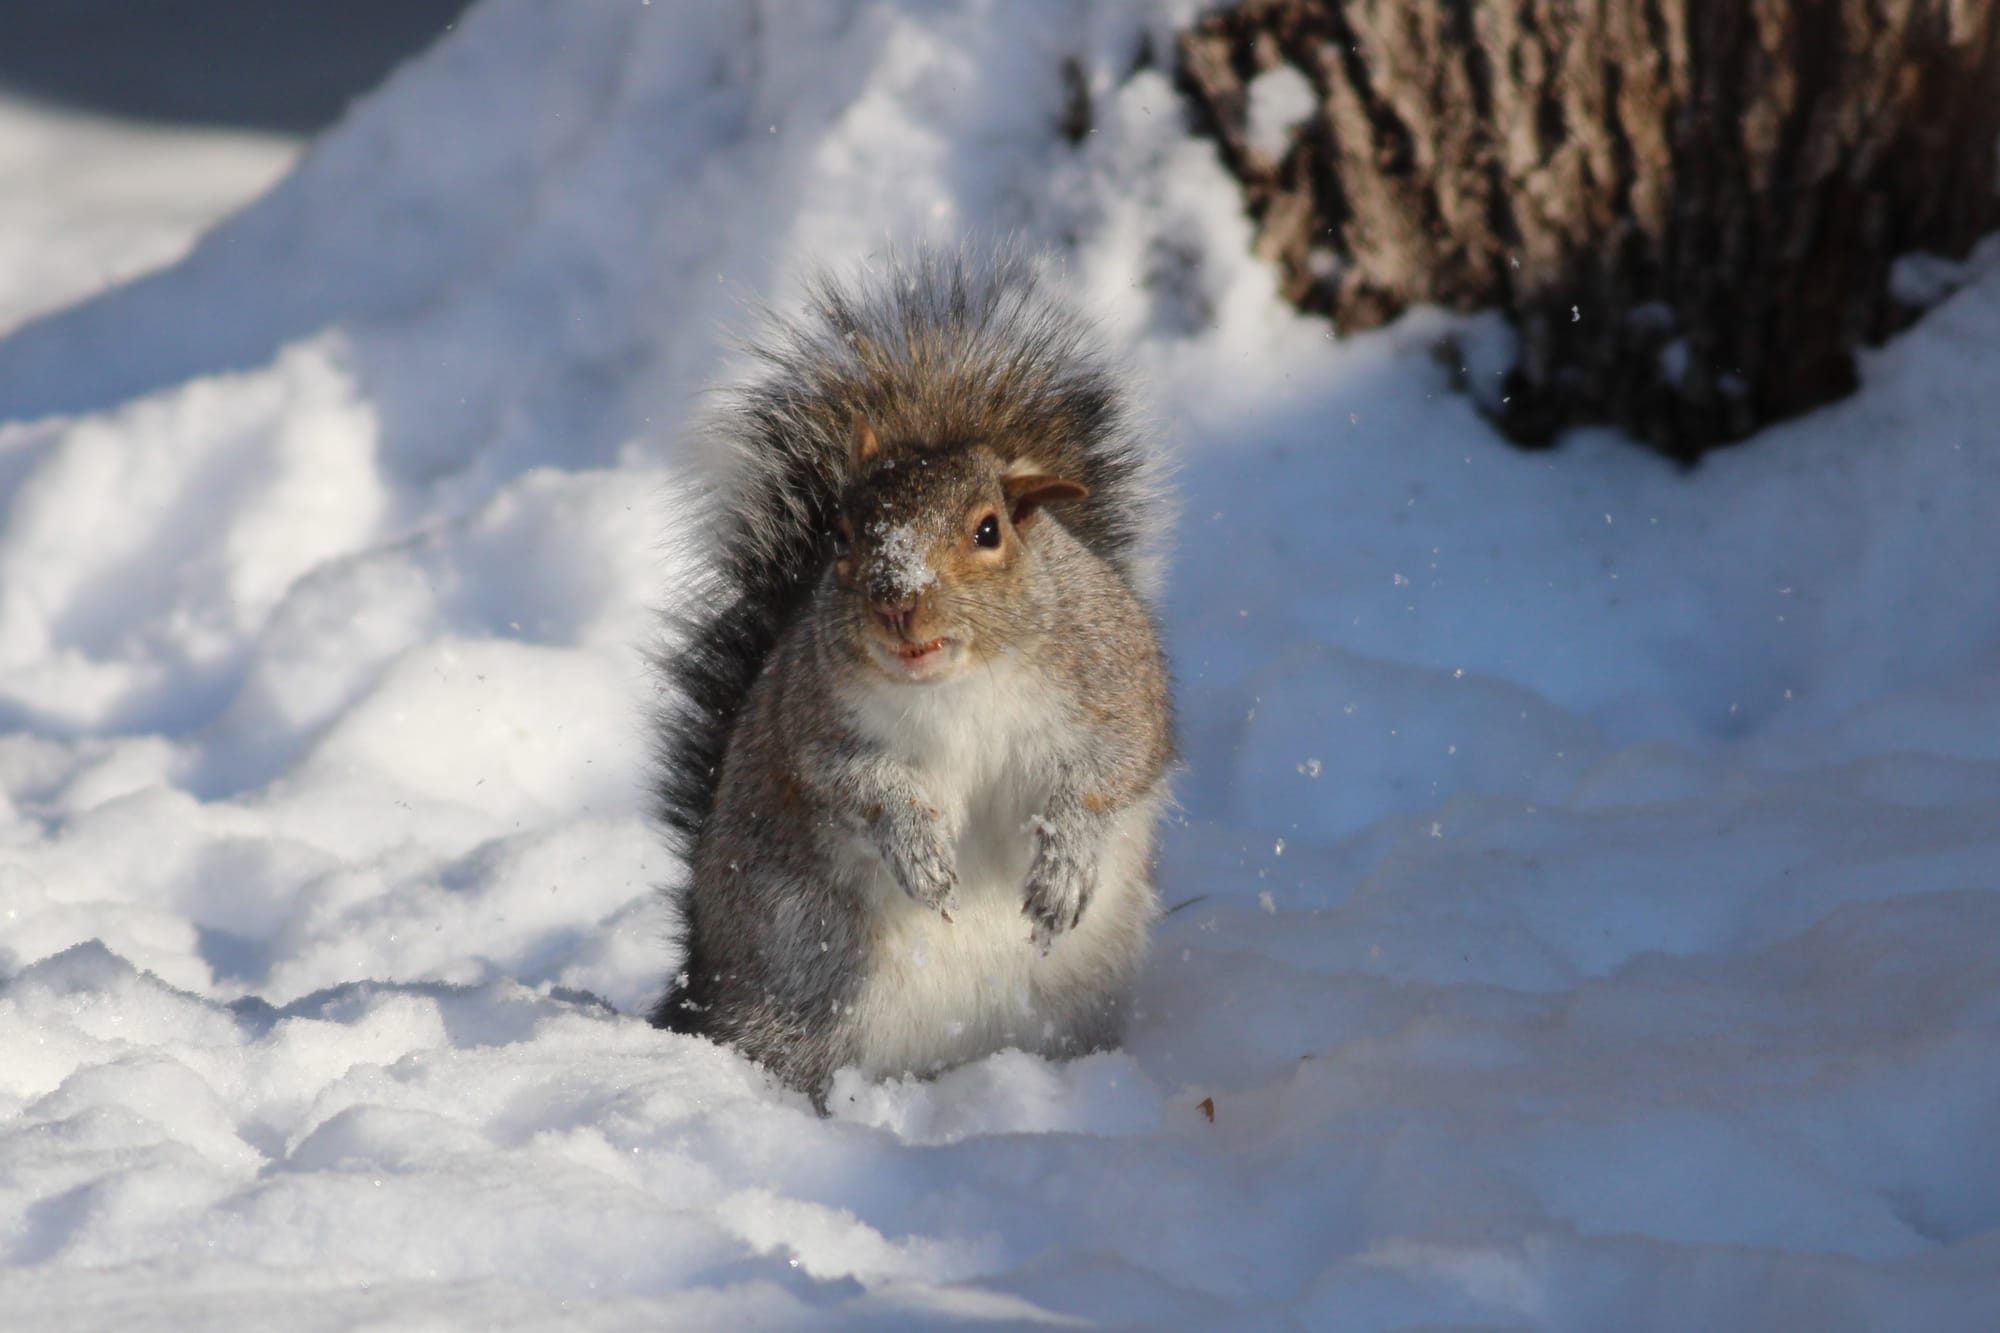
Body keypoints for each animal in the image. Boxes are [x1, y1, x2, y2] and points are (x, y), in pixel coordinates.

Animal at [647, 250, 1173, 1106]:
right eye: (841, 534)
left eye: (989, 530)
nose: (897, 600)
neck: (963, 684)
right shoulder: (814, 725)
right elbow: (858, 785)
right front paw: (921, 854)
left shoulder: (1114, 686)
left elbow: (1111, 772)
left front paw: (1063, 867)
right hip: (796, 997)